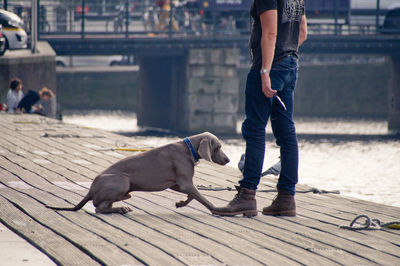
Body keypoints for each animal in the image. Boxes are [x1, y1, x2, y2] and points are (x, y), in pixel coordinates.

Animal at [47, 132, 230, 214]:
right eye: (219, 147)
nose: (228, 160)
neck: (188, 149)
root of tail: (90, 189)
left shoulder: (177, 184)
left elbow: (193, 195)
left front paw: (180, 203)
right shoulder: (185, 182)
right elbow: (202, 198)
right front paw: (217, 209)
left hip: (124, 188)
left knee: (105, 204)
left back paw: (122, 205)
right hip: (122, 180)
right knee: (99, 207)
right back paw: (121, 208)